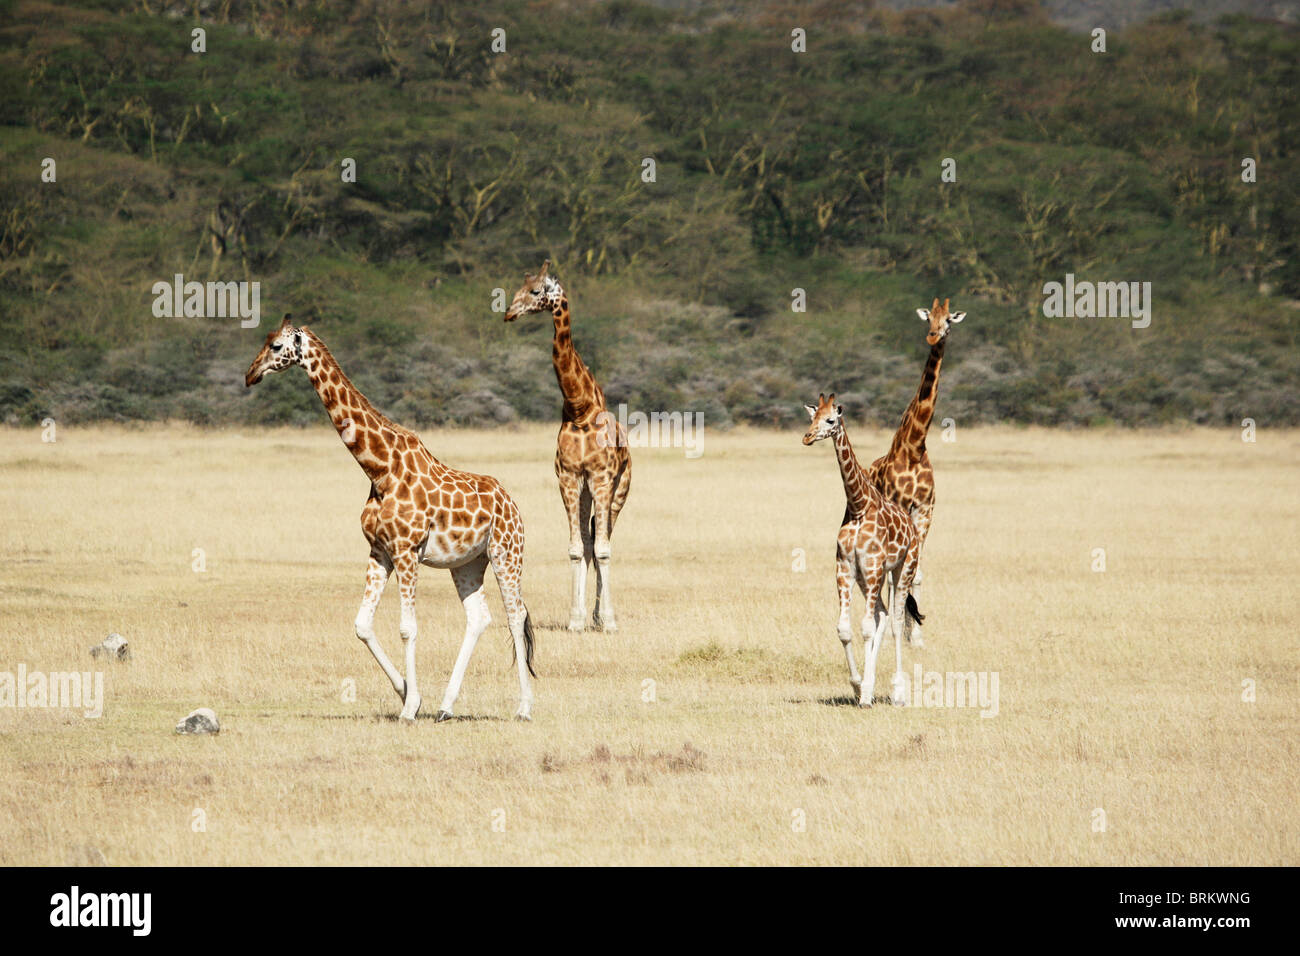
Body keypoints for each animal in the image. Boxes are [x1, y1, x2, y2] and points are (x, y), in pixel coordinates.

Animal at [245, 317, 535, 723]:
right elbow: (362, 625)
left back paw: (524, 707)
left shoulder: (406, 550)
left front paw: (410, 707)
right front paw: (406, 693)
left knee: (516, 614)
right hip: (467, 562)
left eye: (275, 346)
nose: (250, 374)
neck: (379, 468)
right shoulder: (379, 551)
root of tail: (512, 503)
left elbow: (407, 629)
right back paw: (446, 706)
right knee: (479, 617)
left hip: (506, 552)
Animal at [501, 261, 629, 634]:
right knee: (588, 542)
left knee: (605, 540)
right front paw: (575, 620)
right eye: (519, 287)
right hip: (585, 490)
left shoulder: (602, 478)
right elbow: (577, 548)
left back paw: (603, 617)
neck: (579, 408)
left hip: (619, 490)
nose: (509, 312)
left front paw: (609, 622)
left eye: (536, 291)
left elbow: (603, 549)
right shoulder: (569, 478)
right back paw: (590, 616)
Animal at [800, 392, 925, 707]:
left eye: (831, 420)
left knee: (894, 619)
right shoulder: (845, 567)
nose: (807, 437)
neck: (858, 505)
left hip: (903, 568)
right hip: (868, 578)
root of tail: (912, 529)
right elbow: (845, 629)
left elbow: (867, 627)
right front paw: (858, 686)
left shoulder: (873, 565)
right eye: (812, 417)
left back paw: (898, 691)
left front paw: (868, 693)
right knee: (882, 614)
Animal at [863, 295, 967, 647]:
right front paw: (897, 630)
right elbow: (897, 576)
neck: (914, 447)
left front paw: (916, 637)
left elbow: (915, 573)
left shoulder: (924, 510)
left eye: (948, 319)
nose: (933, 337)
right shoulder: (900, 508)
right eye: (928, 318)